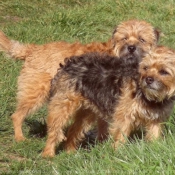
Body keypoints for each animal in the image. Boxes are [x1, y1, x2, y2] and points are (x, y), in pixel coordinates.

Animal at [0, 19, 160, 142]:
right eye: (124, 38)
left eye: (141, 39)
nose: (131, 47)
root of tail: (33, 50)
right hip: (36, 92)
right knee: (17, 115)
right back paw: (19, 137)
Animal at [42, 45, 175, 157]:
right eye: (145, 68)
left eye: (163, 72)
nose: (148, 79)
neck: (151, 98)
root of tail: (68, 63)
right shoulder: (124, 116)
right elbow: (120, 136)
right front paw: (117, 153)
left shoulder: (157, 119)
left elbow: (154, 135)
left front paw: (154, 149)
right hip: (62, 107)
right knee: (54, 131)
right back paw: (48, 154)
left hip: (87, 113)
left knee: (74, 130)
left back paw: (70, 152)